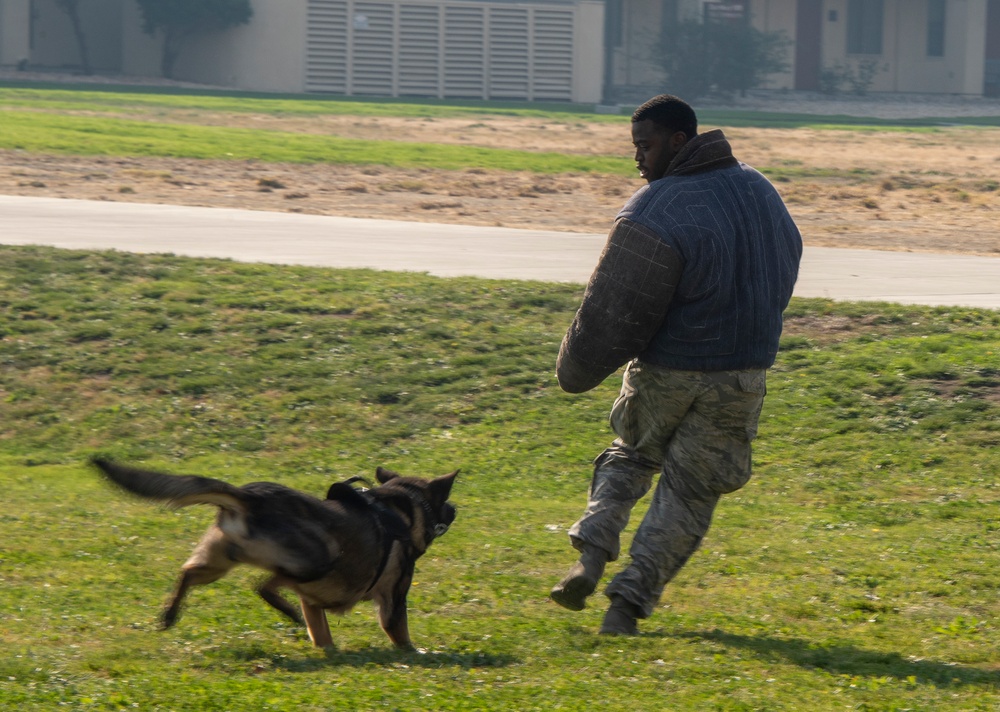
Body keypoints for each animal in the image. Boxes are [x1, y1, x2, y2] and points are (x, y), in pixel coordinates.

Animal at [90, 458, 458, 648]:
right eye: (443, 502)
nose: (455, 508)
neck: (402, 509)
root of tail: (250, 497)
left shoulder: (314, 603)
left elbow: (321, 634)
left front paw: (330, 653)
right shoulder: (394, 596)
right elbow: (400, 632)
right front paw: (416, 654)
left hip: (220, 562)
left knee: (188, 573)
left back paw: (169, 614)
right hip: (318, 559)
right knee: (264, 585)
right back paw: (286, 611)